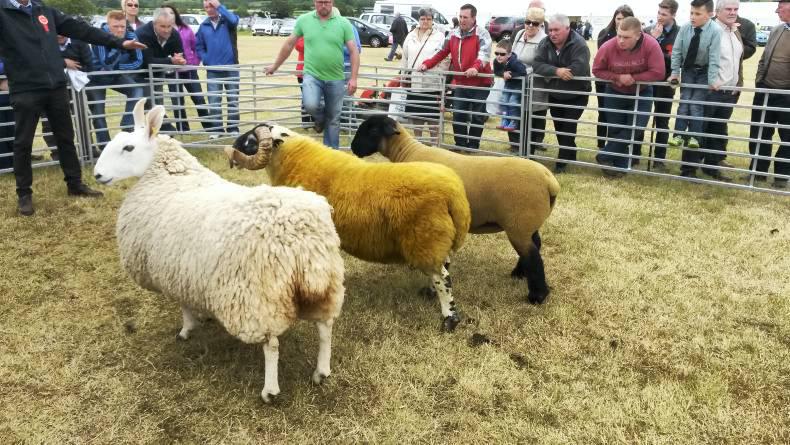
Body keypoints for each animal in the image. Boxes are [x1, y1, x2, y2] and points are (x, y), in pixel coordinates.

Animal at [93, 99, 345, 403]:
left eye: (128, 147)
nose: (97, 175)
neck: (167, 177)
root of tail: (303, 237)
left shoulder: (174, 273)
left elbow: (184, 307)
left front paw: (186, 330)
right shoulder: (187, 272)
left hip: (259, 299)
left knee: (271, 345)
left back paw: (270, 390)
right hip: (326, 287)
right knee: (325, 329)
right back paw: (321, 372)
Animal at [224, 123, 471, 332]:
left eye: (250, 140)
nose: (231, 152)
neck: (294, 157)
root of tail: (454, 191)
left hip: (425, 238)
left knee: (443, 278)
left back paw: (449, 320)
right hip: (437, 239)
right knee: (444, 266)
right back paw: (429, 293)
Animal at [350, 115, 560, 305]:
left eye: (372, 130)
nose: (353, 148)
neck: (407, 153)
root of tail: (549, 180)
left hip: (518, 224)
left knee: (533, 257)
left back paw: (537, 296)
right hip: (526, 223)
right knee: (535, 245)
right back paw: (518, 274)